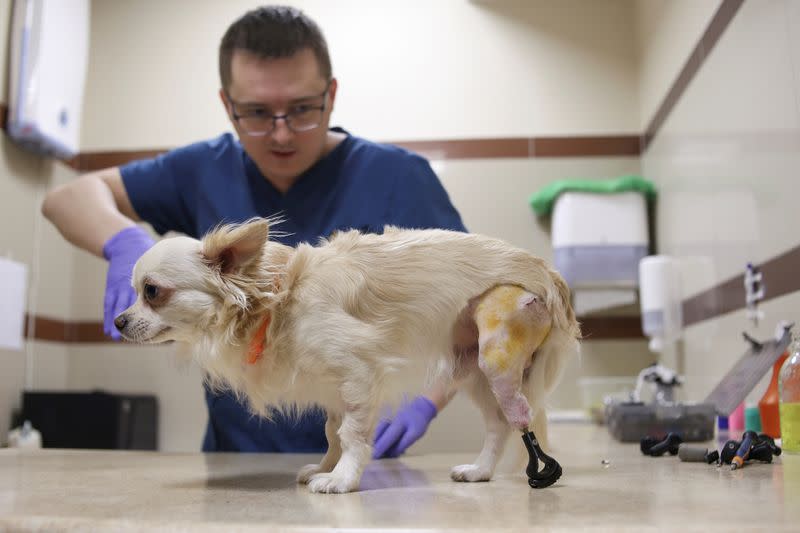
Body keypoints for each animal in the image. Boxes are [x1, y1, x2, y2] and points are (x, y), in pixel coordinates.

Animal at [115, 218, 580, 492]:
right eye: (134, 293)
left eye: (152, 292)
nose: (118, 321)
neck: (277, 304)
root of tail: (549, 275)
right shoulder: (337, 387)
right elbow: (331, 432)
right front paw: (326, 466)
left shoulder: (359, 373)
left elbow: (353, 434)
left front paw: (342, 479)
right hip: (473, 369)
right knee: (500, 425)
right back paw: (480, 470)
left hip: (496, 356)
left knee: (517, 419)